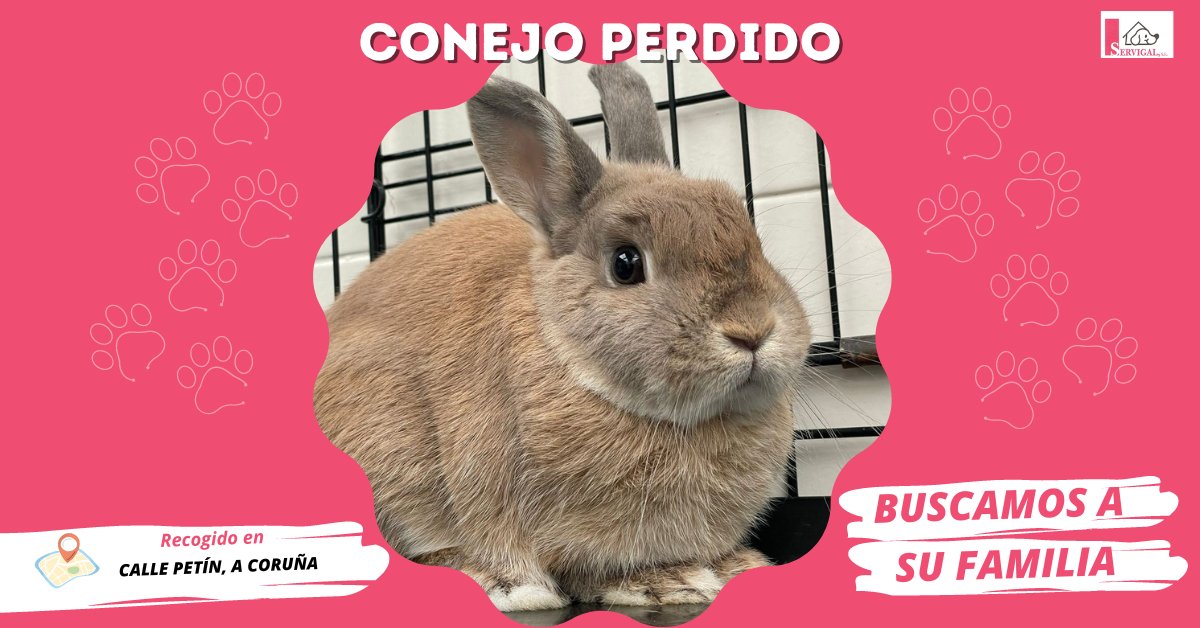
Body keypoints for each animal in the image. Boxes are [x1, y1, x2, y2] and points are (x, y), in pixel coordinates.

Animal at [315, 62, 812, 612]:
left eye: (753, 237)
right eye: (626, 263)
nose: (753, 330)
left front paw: (737, 565)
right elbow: (587, 571)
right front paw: (671, 581)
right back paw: (496, 581)